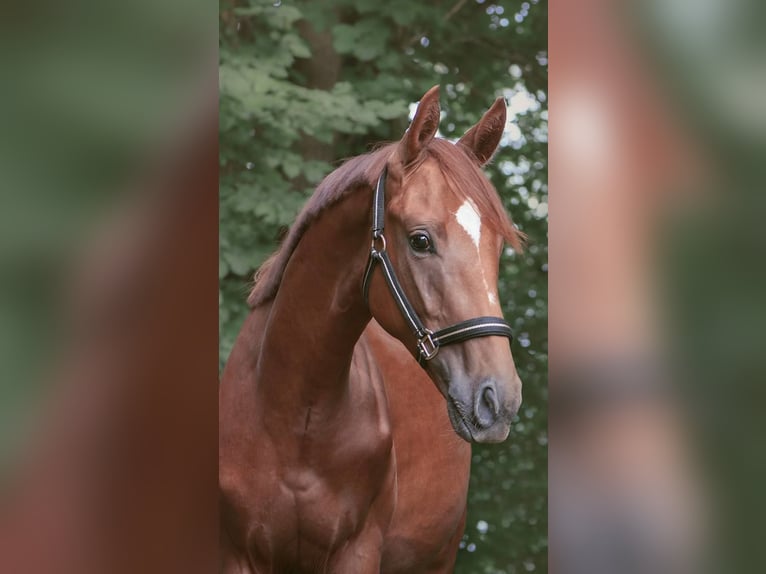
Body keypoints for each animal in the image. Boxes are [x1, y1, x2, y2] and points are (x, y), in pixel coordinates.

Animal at [219, 86, 524, 574]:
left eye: (496, 247)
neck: (295, 414)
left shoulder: (358, 552)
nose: (500, 399)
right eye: (420, 240)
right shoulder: (236, 554)